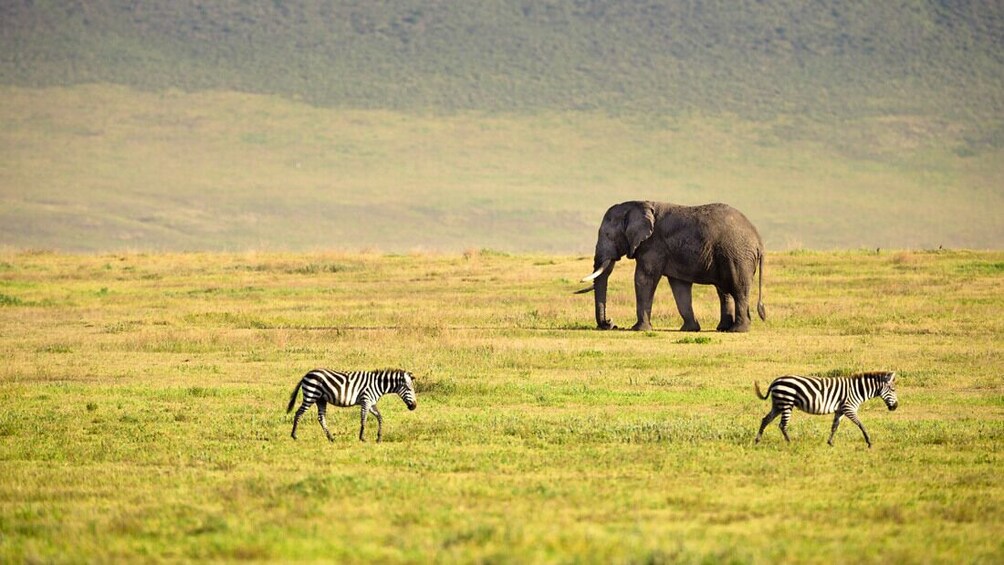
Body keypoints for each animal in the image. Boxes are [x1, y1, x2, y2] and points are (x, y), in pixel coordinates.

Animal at [285, 369, 417, 443]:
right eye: (409, 389)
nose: (414, 407)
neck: (377, 385)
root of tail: (307, 374)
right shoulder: (366, 400)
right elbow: (363, 419)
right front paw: (362, 438)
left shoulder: (371, 403)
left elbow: (380, 417)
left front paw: (379, 438)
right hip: (311, 395)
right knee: (299, 413)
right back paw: (294, 435)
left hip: (321, 399)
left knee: (321, 418)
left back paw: (331, 438)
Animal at [578, 200, 763, 331]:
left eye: (608, 235)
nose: (610, 323)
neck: (638, 205)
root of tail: (758, 240)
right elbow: (679, 287)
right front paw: (689, 329)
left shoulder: (653, 245)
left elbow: (643, 279)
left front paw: (639, 329)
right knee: (724, 291)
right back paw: (723, 328)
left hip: (738, 256)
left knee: (738, 288)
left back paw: (737, 330)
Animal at [755, 373, 903, 449]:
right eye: (893, 389)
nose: (895, 406)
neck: (858, 390)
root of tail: (776, 380)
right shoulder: (849, 408)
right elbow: (861, 425)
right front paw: (869, 442)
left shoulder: (840, 410)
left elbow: (834, 427)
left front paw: (830, 443)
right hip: (786, 403)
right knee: (782, 425)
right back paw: (790, 443)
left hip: (778, 404)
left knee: (765, 419)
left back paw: (757, 440)